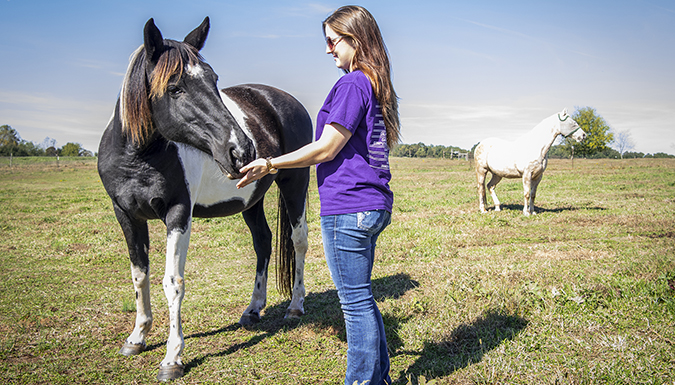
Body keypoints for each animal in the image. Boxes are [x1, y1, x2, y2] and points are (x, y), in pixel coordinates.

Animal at [96, 17, 312, 378]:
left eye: (214, 80)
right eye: (174, 88)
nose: (242, 151)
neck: (138, 157)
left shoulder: (178, 213)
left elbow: (173, 282)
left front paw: (172, 358)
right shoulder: (125, 214)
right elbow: (139, 274)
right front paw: (137, 337)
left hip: (295, 183)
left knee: (298, 241)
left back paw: (295, 306)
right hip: (251, 200)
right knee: (263, 242)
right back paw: (253, 309)